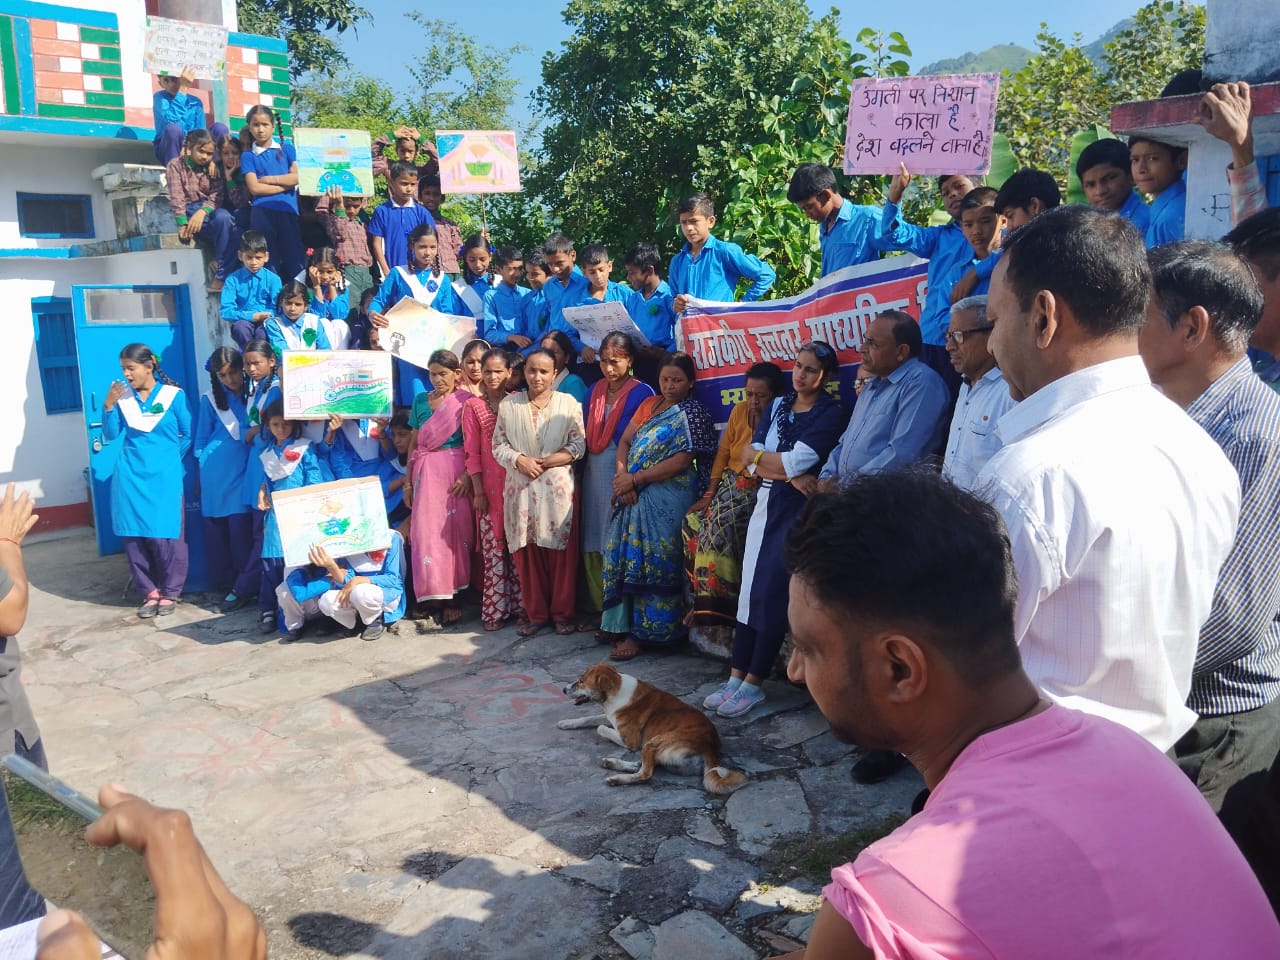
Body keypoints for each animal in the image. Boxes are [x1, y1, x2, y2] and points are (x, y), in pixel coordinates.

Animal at [559, 663, 747, 795]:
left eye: (581, 682)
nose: (563, 689)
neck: (616, 689)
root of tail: (711, 749)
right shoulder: (610, 716)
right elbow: (588, 718)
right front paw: (566, 722)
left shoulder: (630, 740)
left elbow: (600, 727)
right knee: (642, 766)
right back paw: (611, 763)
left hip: (654, 742)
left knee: (645, 774)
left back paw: (616, 778)